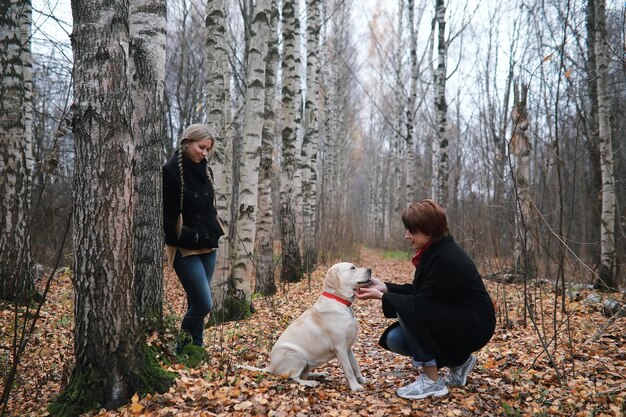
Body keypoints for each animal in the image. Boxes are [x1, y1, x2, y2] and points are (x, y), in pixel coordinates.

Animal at [236, 262, 368, 392]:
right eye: (352, 268)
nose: (370, 269)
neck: (339, 301)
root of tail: (271, 366)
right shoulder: (340, 347)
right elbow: (349, 369)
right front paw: (355, 386)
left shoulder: (348, 347)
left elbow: (355, 365)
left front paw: (361, 380)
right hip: (297, 357)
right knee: (294, 378)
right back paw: (310, 382)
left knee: (303, 374)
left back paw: (319, 374)